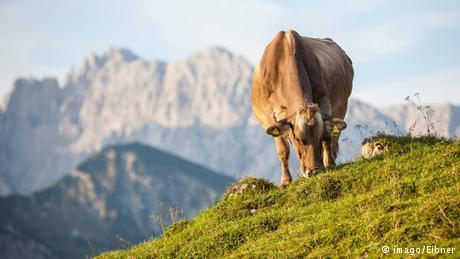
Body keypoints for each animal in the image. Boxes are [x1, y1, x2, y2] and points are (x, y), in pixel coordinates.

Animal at [252, 30, 352, 187]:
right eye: (298, 139)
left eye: (319, 136)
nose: (314, 171)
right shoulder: (269, 115)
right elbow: (283, 149)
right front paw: (286, 181)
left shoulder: (324, 98)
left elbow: (327, 137)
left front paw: (329, 165)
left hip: (342, 106)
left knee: (335, 139)